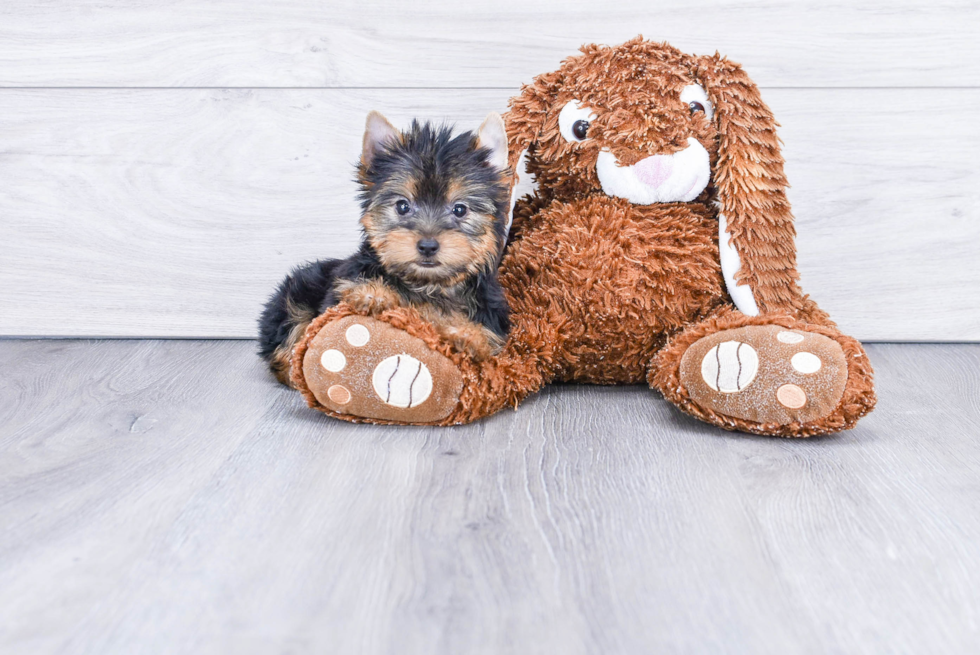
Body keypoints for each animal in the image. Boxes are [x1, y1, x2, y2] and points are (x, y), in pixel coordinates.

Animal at [256, 111, 510, 386]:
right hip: (297, 292)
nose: (428, 245)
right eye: (402, 206)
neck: (428, 284)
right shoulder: (341, 285)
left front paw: (466, 335)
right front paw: (374, 294)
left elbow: (480, 335)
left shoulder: (493, 320)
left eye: (460, 209)